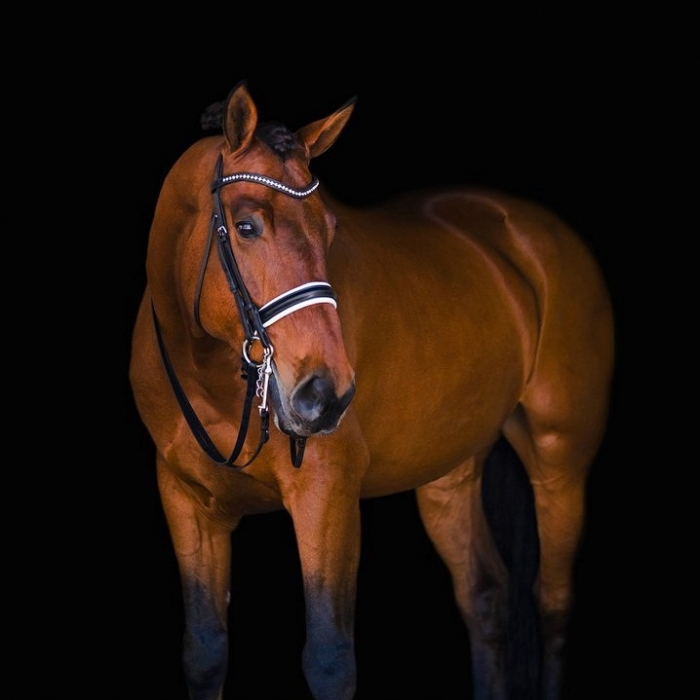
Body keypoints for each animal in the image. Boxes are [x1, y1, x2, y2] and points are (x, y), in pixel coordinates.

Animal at [129, 81, 614, 699]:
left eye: (330, 228)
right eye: (246, 226)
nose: (325, 395)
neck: (211, 378)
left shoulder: (327, 495)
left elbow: (330, 660)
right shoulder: (187, 501)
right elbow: (205, 652)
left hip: (559, 462)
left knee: (550, 603)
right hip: (448, 474)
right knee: (486, 596)